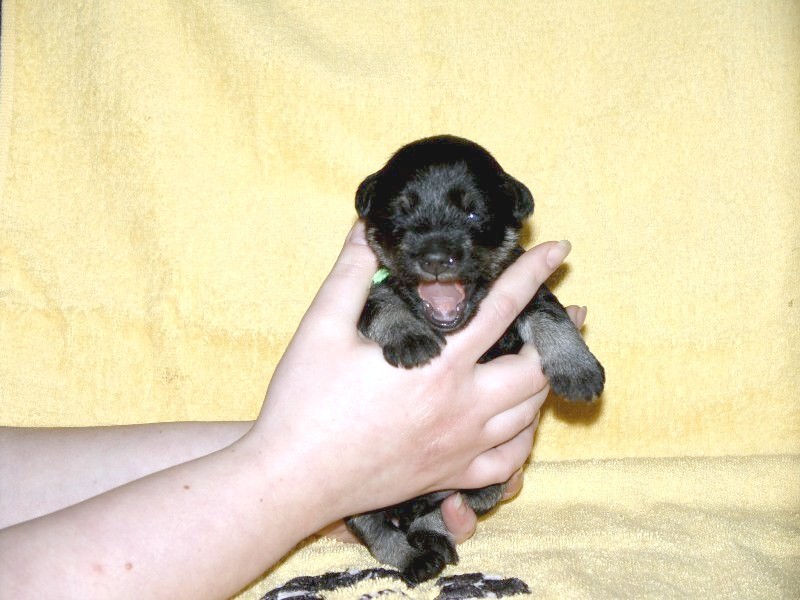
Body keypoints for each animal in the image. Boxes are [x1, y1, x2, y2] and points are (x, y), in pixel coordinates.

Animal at [345, 135, 604, 583]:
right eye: (400, 212)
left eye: (473, 212)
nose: (435, 258)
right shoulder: (369, 294)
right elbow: (384, 301)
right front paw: (409, 336)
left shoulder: (530, 287)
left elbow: (551, 315)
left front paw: (577, 368)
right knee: (378, 531)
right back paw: (415, 558)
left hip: (473, 490)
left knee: (445, 507)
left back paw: (432, 536)